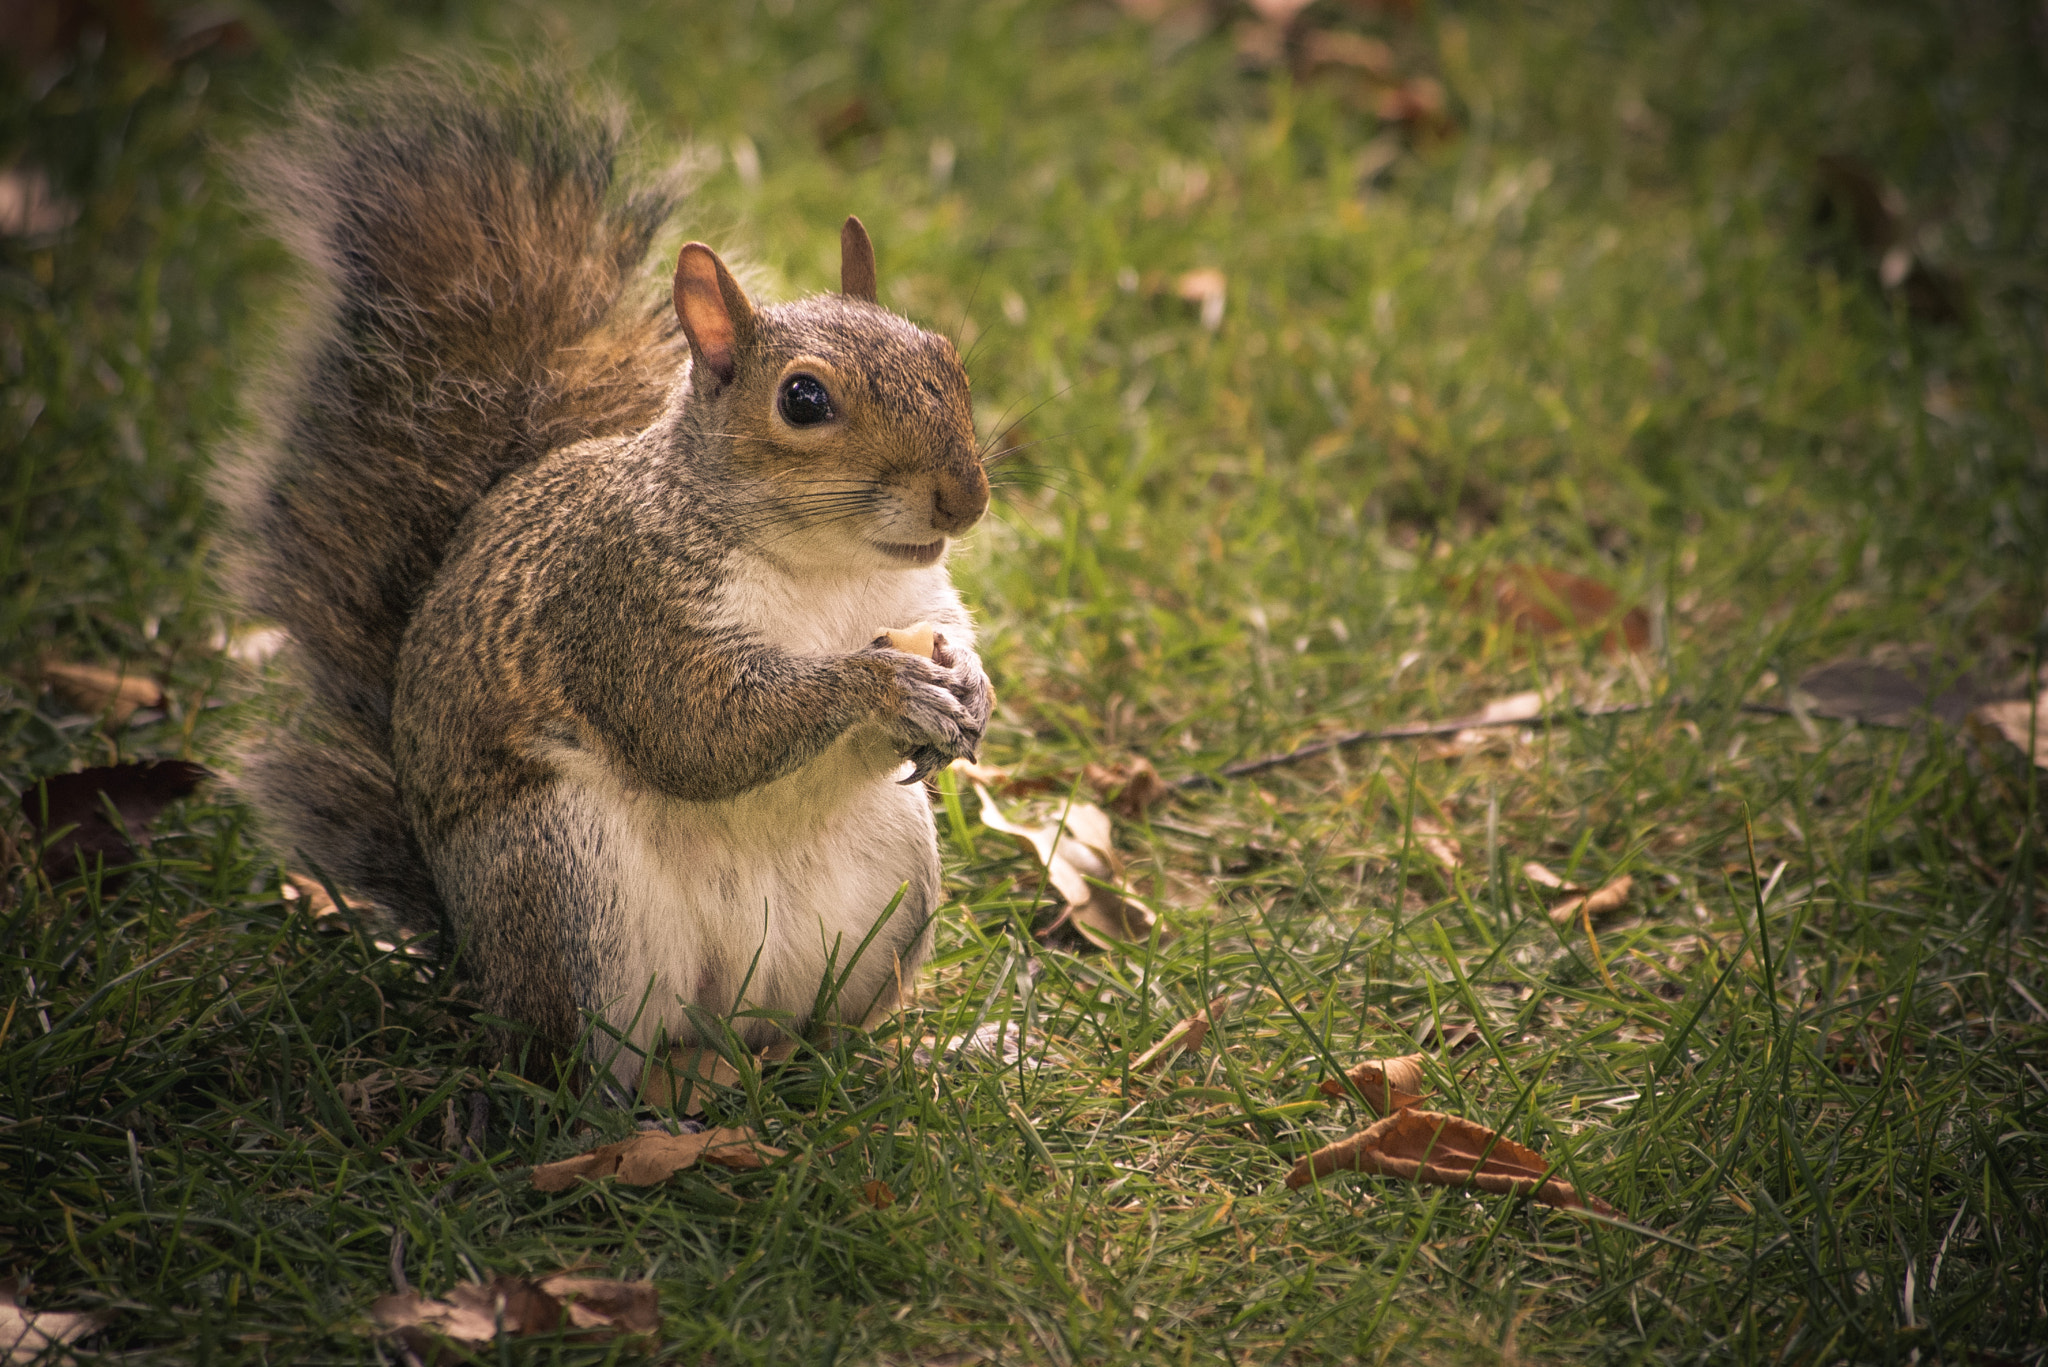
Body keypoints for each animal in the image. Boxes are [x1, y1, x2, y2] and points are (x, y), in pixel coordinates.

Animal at [216, 69, 991, 1082]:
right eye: (803, 398)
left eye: (945, 355)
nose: (965, 498)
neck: (829, 570)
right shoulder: (621, 603)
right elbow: (698, 730)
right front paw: (881, 683)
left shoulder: (918, 597)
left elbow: (949, 640)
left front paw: (969, 686)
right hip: (566, 887)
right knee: (580, 1063)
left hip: (890, 887)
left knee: (812, 1035)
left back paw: (891, 1057)